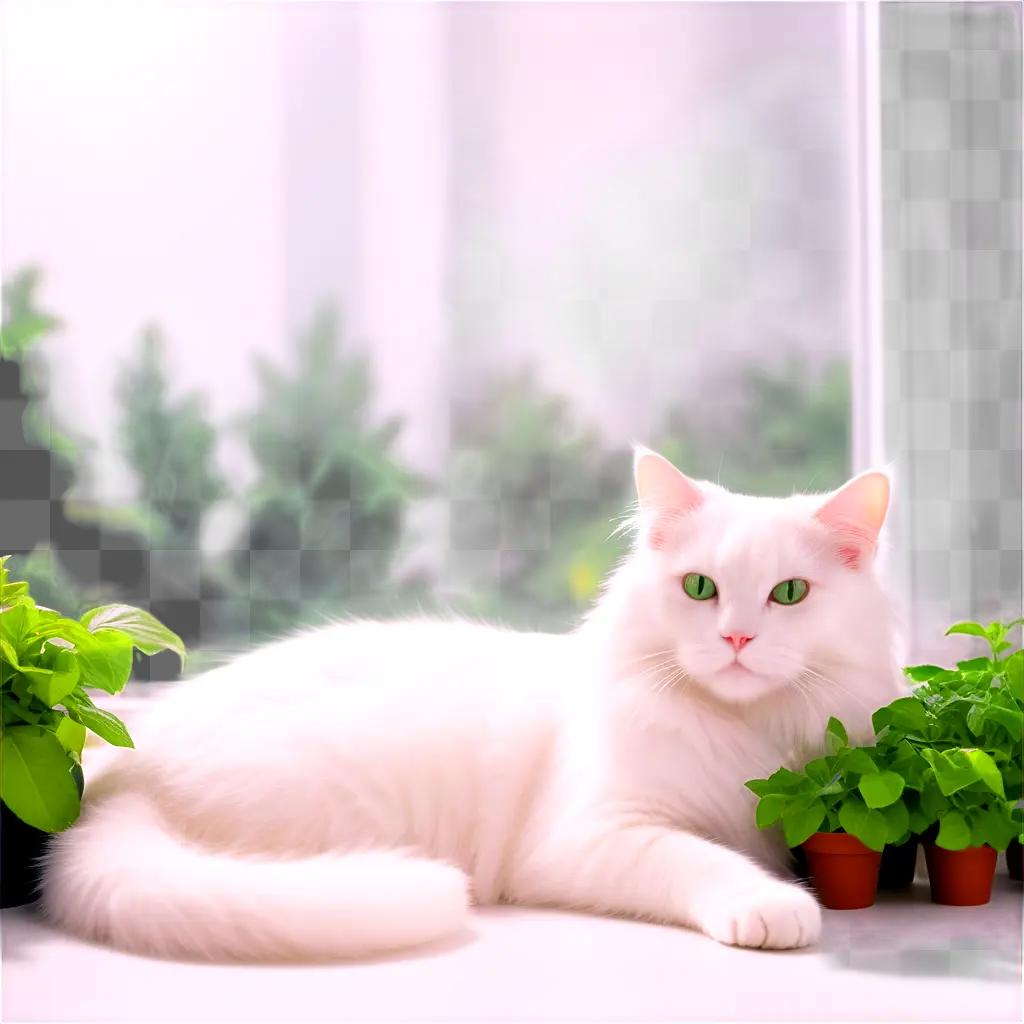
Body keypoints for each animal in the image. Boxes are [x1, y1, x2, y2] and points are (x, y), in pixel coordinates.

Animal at [41, 446, 905, 958]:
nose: (736, 638)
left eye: (788, 594)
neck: (741, 734)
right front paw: (773, 905)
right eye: (700, 588)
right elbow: (706, 857)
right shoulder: (595, 836)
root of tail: (128, 776)